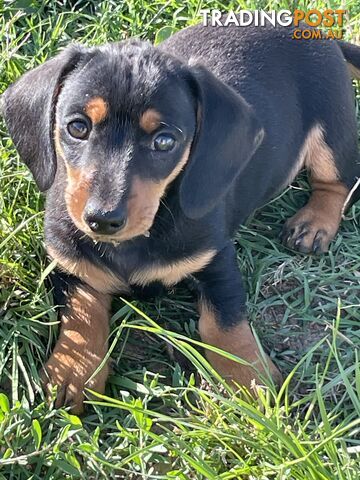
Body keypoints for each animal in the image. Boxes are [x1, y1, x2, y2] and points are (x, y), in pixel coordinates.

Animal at [0, 23, 360, 412]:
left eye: (164, 141)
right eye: (77, 127)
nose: (102, 220)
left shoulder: (215, 258)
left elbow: (223, 322)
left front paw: (248, 378)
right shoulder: (68, 263)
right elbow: (81, 314)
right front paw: (73, 370)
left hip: (332, 126)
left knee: (338, 182)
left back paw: (314, 223)